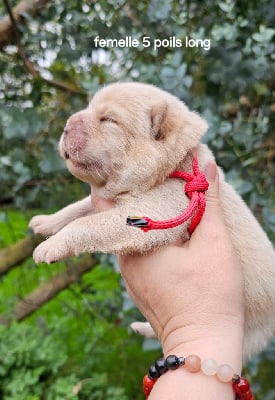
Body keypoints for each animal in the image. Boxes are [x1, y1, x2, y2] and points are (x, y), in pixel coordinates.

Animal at [29, 81, 275, 360]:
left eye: (109, 120)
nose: (66, 126)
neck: (170, 167)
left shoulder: (152, 210)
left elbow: (87, 224)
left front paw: (49, 246)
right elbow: (78, 208)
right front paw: (45, 222)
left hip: (249, 336)